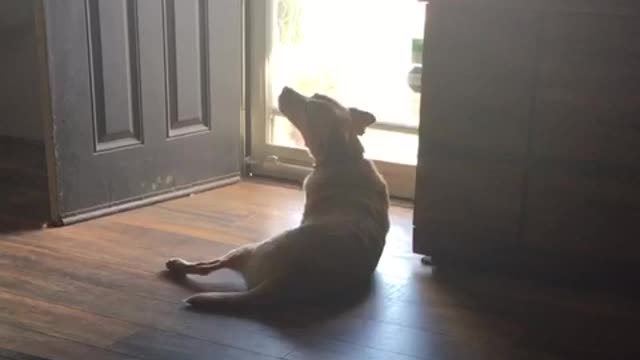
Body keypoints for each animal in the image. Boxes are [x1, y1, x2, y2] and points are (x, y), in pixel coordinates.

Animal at [165, 86, 390, 306]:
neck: (345, 159)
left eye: (309, 109)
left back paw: (178, 265)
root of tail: (281, 279)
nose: (285, 89)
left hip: (250, 249)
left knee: (209, 265)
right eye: (316, 94)